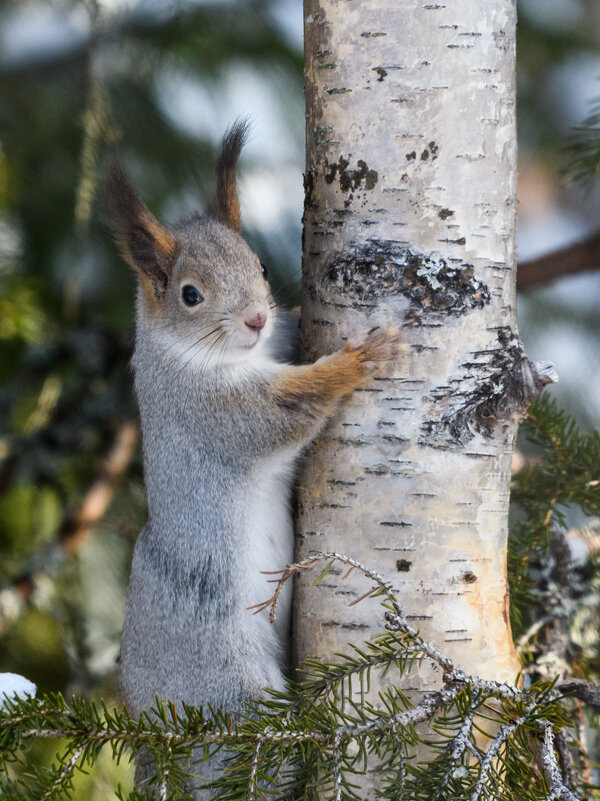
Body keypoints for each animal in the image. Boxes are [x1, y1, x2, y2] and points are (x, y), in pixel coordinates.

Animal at [109, 119, 404, 792]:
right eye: (190, 294)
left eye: (261, 267)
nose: (254, 319)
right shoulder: (215, 414)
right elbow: (288, 408)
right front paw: (360, 360)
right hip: (232, 692)